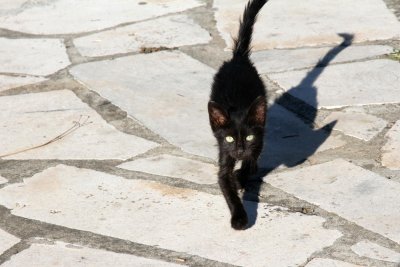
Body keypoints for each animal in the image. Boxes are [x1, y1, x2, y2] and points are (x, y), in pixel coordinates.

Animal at [208, 0, 268, 230]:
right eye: (230, 139)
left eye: (248, 137)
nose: (240, 150)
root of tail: (238, 59)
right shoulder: (224, 153)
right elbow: (228, 187)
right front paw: (239, 218)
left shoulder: (259, 138)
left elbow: (251, 164)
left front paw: (241, 176)